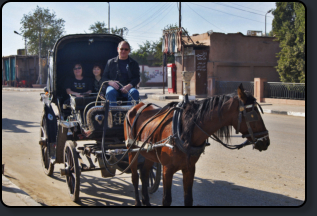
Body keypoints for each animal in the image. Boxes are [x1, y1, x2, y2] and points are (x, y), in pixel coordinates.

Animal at [123, 84, 270, 206]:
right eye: (253, 114)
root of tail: (136, 106)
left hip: (147, 153)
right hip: (132, 151)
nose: (266, 141)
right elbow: (166, 200)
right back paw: (137, 202)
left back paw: (146, 201)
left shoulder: (190, 168)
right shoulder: (167, 169)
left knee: (144, 173)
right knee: (135, 177)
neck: (183, 130)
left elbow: (188, 199)